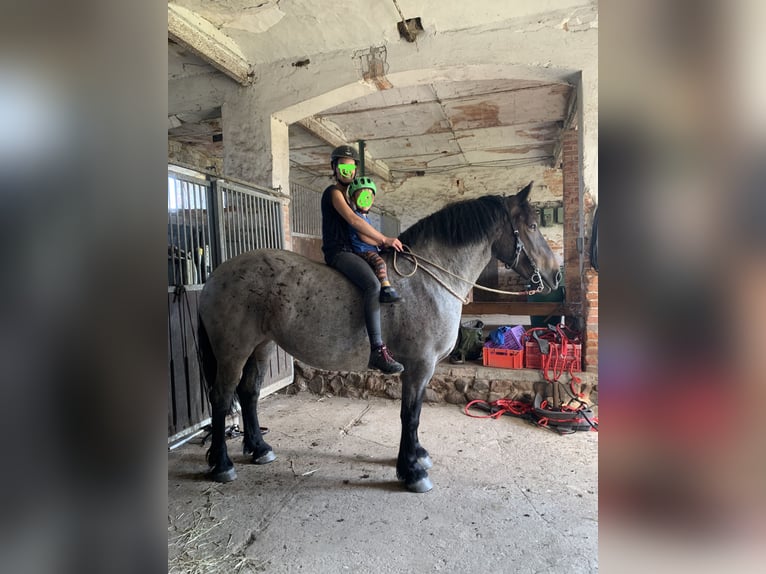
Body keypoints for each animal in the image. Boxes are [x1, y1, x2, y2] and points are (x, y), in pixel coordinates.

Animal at [196, 183, 560, 496]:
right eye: (531, 225)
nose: (555, 275)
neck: (430, 280)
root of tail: (217, 274)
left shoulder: (422, 369)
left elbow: (413, 415)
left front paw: (415, 456)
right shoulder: (419, 366)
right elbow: (409, 415)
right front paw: (412, 472)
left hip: (261, 346)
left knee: (249, 393)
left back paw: (258, 449)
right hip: (233, 351)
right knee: (221, 397)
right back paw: (223, 464)